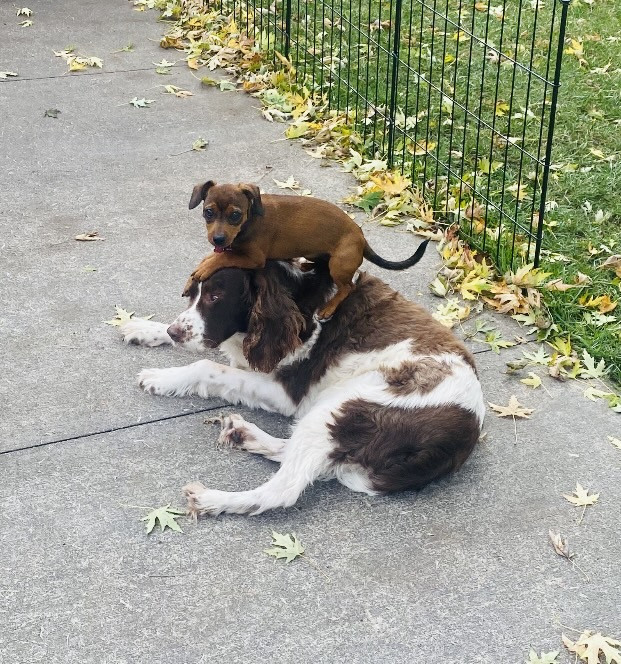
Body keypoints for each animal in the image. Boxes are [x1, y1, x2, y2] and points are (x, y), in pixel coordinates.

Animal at [121, 260, 485, 517]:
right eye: (194, 292)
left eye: (215, 296)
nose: (175, 332)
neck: (294, 295)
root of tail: (460, 439)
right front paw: (144, 327)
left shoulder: (285, 392)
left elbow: (207, 367)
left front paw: (162, 378)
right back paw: (245, 435)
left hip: (348, 405)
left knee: (283, 489)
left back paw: (213, 499)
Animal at [186, 181, 430, 320]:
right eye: (208, 212)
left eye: (235, 215)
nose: (218, 238)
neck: (249, 221)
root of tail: (361, 238)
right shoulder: (228, 248)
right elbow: (212, 256)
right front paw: (193, 277)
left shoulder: (253, 258)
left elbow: (223, 257)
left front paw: (204, 269)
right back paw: (303, 265)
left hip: (339, 264)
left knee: (347, 287)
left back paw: (329, 307)